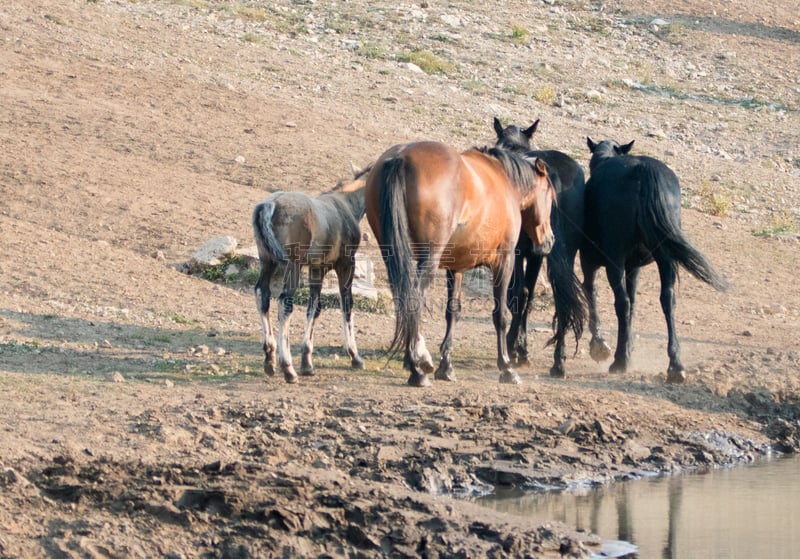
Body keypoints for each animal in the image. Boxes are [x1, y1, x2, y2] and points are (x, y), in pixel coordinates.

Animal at [253, 165, 372, 384]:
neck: (345, 204)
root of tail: (271, 203)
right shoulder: (346, 265)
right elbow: (347, 305)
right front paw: (355, 356)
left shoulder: (317, 269)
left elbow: (314, 308)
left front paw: (307, 362)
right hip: (292, 266)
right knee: (284, 302)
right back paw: (287, 368)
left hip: (267, 262)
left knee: (262, 294)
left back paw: (270, 359)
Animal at [364, 139, 556, 390]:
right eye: (550, 196)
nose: (550, 240)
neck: (504, 179)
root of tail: (401, 157)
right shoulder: (504, 261)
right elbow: (500, 315)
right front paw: (506, 366)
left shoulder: (455, 268)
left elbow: (452, 312)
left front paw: (446, 366)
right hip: (429, 258)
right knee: (413, 299)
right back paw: (418, 366)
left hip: (394, 256)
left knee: (403, 299)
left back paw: (417, 361)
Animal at [580, 140, 732, 384]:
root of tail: (643, 170)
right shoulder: (633, 268)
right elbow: (633, 301)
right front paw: (628, 345)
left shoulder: (590, 262)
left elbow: (592, 293)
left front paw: (600, 345)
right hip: (665, 258)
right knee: (667, 300)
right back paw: (675, 365)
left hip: (615, 260)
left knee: (621, 302)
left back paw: (619, 361)